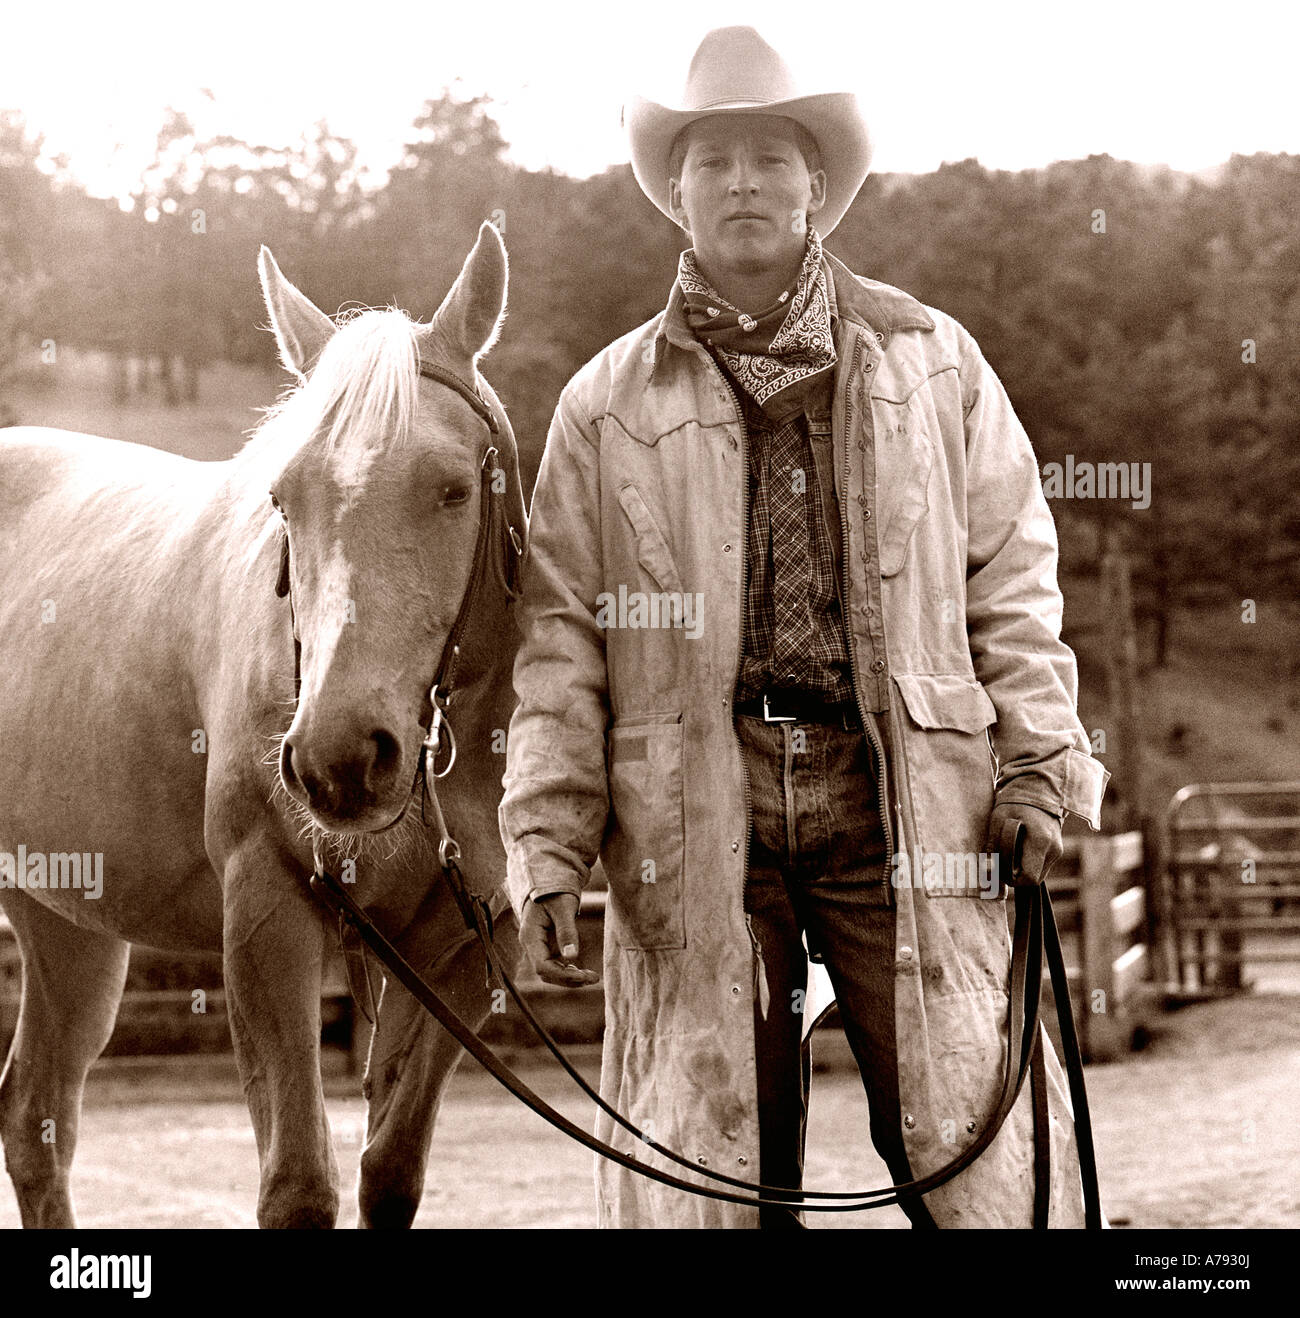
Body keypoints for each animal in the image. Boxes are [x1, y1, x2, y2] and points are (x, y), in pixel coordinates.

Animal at [1, 218, 527, 1223]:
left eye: (452, 489)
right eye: (285, 498)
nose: (339, 759)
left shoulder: (457, 953)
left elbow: (390, 1171)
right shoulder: (266, 920)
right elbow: (297, 1186)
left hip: (64, 923)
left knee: (35, 1116)